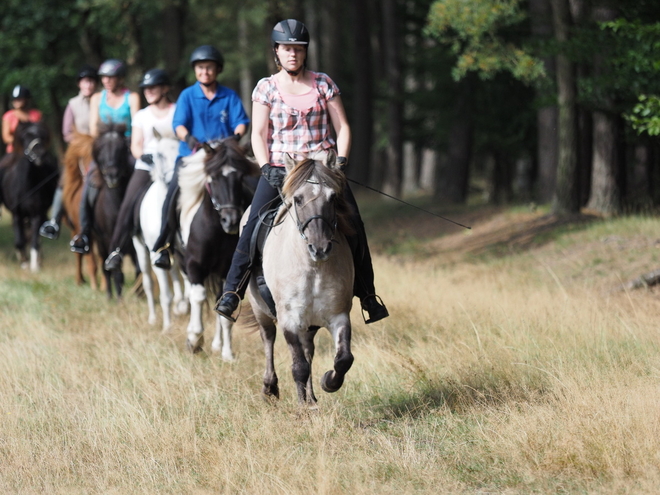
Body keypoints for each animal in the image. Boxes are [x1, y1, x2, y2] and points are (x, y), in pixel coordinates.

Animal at [0, 122, 58, 274]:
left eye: (42, 136)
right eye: (25, 136)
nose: (40, 154)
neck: (27, 185)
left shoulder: (37, 214)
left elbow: (34, 241)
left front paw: (34, 267)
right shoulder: (17, 214)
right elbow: (20, 241)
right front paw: (24, 263)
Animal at [178, 138, 260, 358]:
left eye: (240, 177)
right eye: (213, 178)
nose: (230, 220)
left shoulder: (227, 270)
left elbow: (224, 305)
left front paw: (227, 353)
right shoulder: (194, 265)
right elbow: (198, 297)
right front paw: (194, 340)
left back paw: (217, 344)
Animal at [246, 152, 356, 406]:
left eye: (333, 197)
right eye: (297, 199)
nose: (320, 248)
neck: (312, 268)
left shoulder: (338, 316)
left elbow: (343, 358)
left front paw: (328, 382)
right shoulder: (289, 319)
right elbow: (299, 367)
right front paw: (303, 407)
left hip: (309, 325)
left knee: (308, 350)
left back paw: (312, 397)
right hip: (260, 310)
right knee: (268, 339)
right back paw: (270, 387)